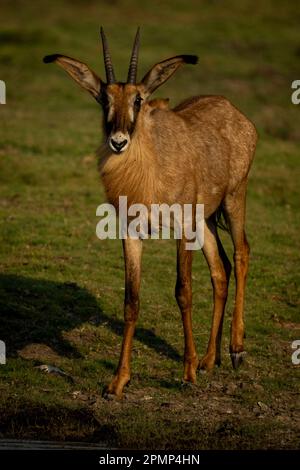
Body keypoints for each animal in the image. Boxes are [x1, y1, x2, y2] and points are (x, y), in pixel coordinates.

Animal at [44, 28, 258, 396]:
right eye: (104, 99)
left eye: (138, 99)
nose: (118, 141)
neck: (149, 167)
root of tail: (234, 112)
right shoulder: (132, 233)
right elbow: (132, 300)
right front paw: (118, 381)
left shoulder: (182, 228)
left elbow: (183, 292)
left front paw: (187, 374)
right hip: (205, 221)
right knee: (220, 270)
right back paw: (209, 359)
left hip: (233, 197)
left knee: (241, 253)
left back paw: (235, 350)